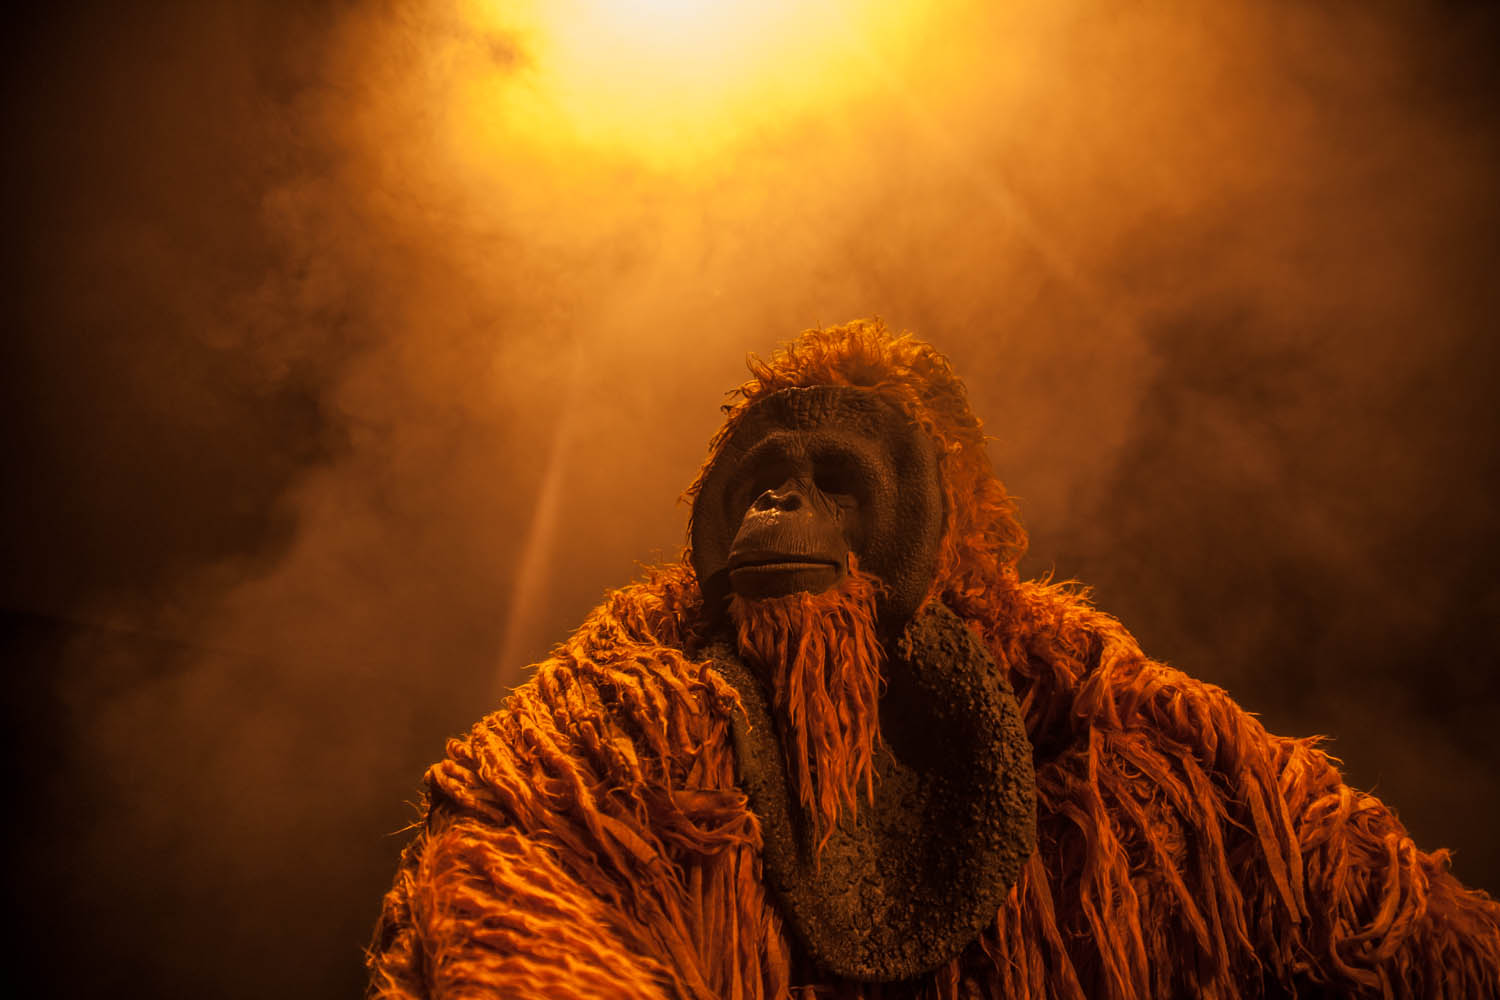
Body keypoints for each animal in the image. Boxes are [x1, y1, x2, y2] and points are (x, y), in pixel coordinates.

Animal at [367, 321, 1500, 1000]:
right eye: (770, 473)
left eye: (831, 476)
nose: (775, 500)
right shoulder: (626, 683)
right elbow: (530, 843)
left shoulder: (1149, 724)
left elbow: (1350, 886)